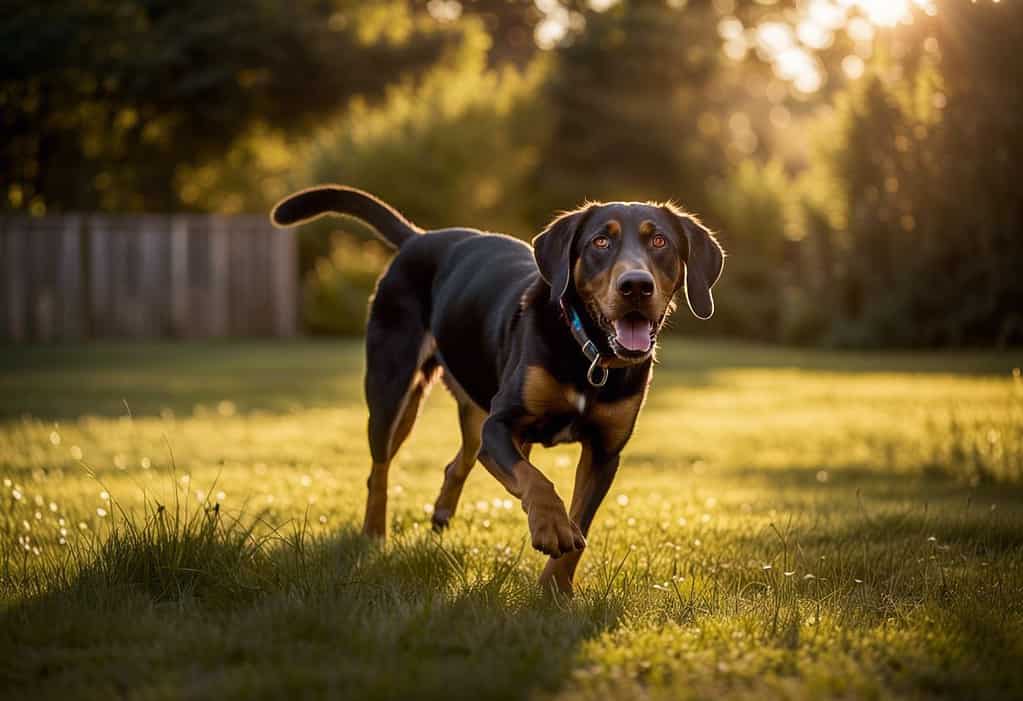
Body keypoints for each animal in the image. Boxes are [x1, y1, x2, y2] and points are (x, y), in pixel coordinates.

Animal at [268, 184, 724, 589]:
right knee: (380, 468)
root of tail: (419, 238)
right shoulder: (502, 424)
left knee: (461, 460)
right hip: (393, 389)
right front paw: (550, 525)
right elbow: (538, 482)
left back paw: (441, 515)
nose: (636, 285)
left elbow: (578, 522)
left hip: (471, 403)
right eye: (600, 241)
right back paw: (374, 534)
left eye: (660, 241)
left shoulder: (604, 452)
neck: (588, 354)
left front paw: (554, 591)